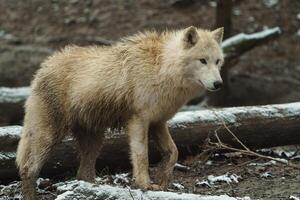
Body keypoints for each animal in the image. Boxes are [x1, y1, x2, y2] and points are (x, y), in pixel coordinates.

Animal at [15, 25, 223, 199]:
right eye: (202, 61)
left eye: (218, 61)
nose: (218, 84)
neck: (162, 68)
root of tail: (44, 67)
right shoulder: (139, 121)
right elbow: (142, 156)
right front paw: (145, 185)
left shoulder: (158, 122)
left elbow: (173, 152)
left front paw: (162, 182)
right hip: (49, 136)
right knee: (28, 169)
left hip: (94, 140)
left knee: (82, 174)